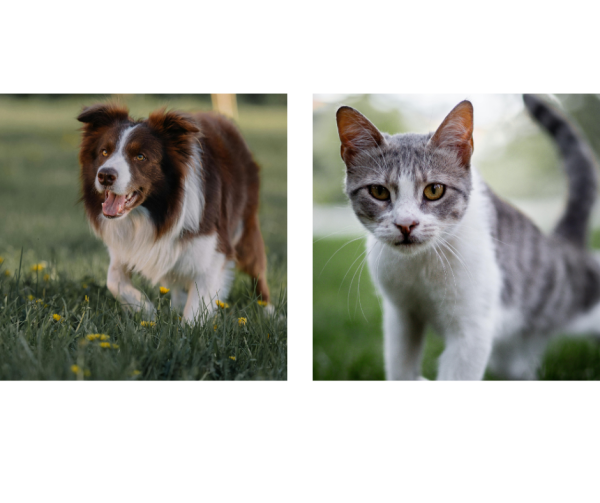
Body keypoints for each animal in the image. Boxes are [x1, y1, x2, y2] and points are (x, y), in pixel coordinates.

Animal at [78, 103, 270, 322]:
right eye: (104, 152)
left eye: (140, 156)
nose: (105, 176)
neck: (155, 212)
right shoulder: (125, 244)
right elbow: (114, 280)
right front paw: (148, 312)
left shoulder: (214, 250)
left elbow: (196, 307)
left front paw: (185, 327)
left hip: (245, 224)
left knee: (257, 269)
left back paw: (269, 312)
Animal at [336, 94, 600, 380]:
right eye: (379, 191)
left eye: (434, 190)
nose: (406, 224)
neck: (421, 267)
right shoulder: (400, 316)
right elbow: (400, 368)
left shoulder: (472, 329)